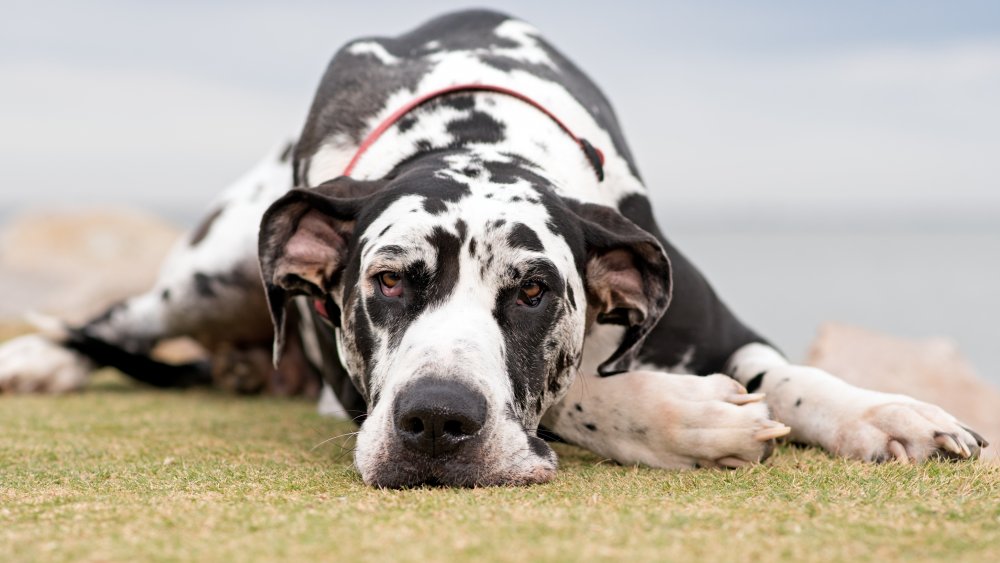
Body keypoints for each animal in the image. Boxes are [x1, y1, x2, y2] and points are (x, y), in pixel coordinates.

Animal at [0, 7, 984, 484]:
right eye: (387, 283)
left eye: (534, 291)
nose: (437, 423)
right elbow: (577, 391)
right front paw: (682, 416)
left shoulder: (713, 316)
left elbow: (793, 376)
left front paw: (885, 412)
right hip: (211, 269)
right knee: (119, 316)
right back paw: (42, 360)